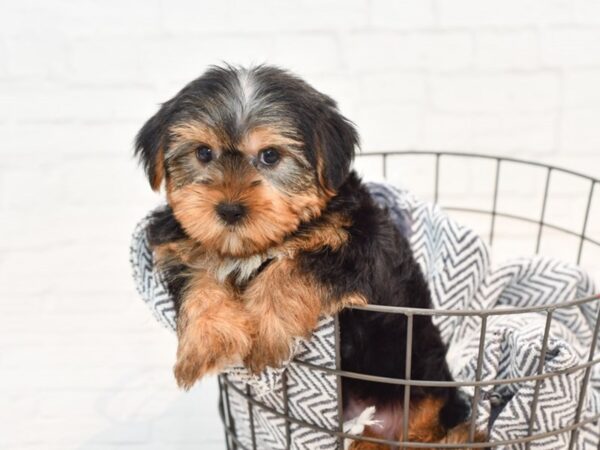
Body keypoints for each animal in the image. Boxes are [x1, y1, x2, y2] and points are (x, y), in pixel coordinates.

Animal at [134, 65, 486, 448]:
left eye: (270, 156)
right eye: (203, 153)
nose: (228, 210)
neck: (260, 245)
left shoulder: (356, 248)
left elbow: (291, 269)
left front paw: (266, 339)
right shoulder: (181, 244)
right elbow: (198, 277)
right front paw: (208, 344)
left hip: (423, 383)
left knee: (423, 423)